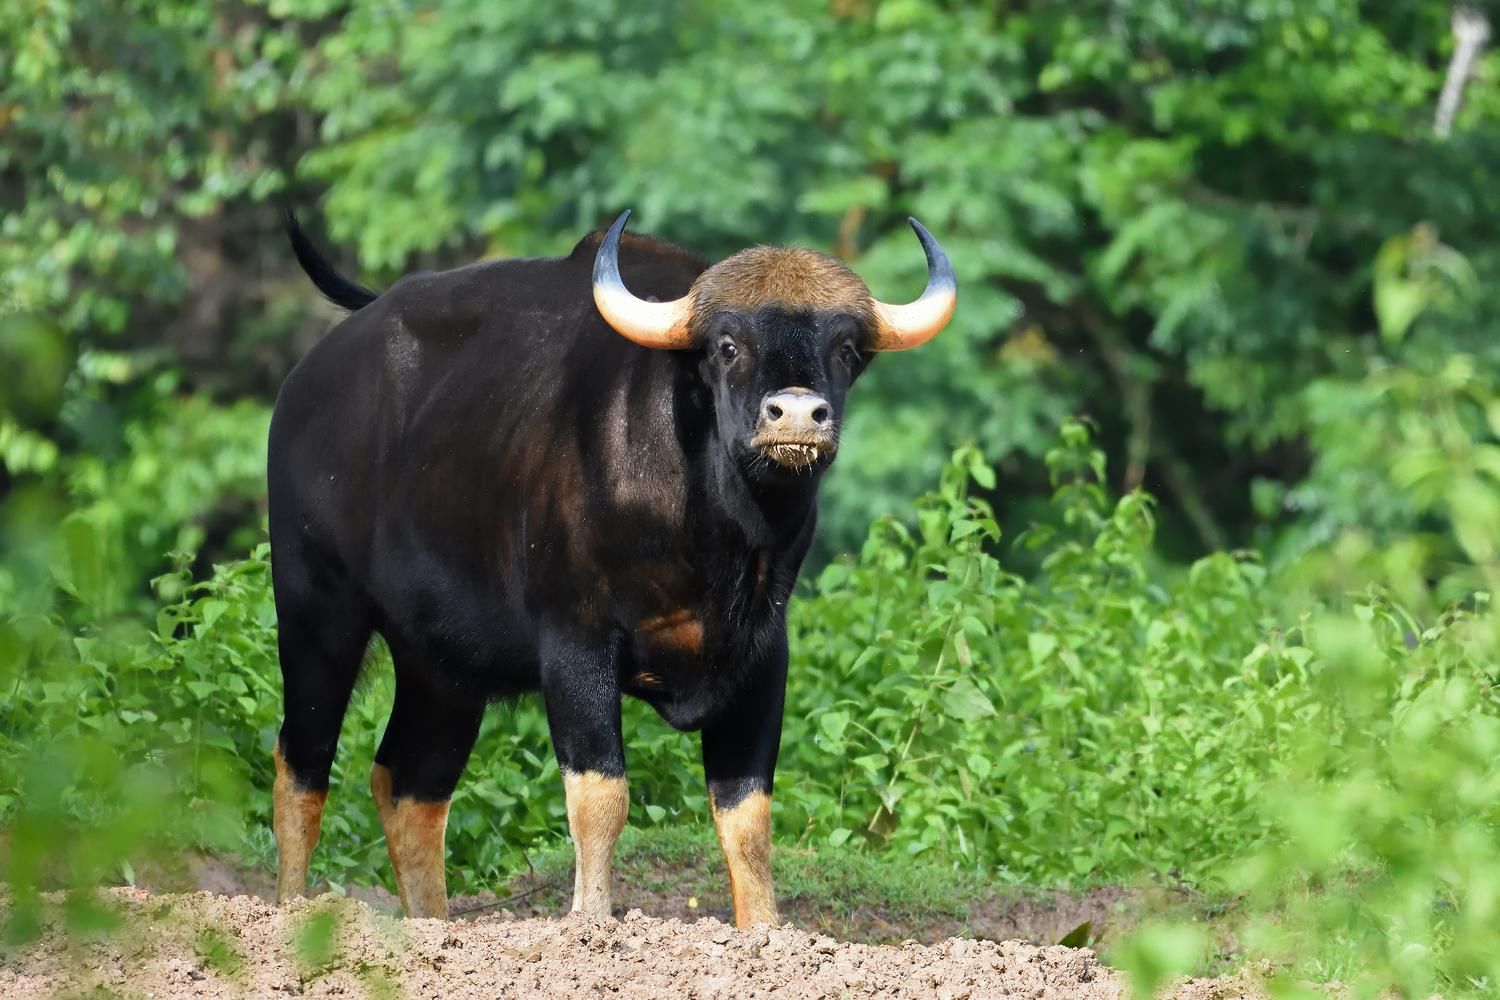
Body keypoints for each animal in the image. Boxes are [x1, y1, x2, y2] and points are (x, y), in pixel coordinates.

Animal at [270, 209, 954, 923]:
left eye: (845, 349)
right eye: (727, 345)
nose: (796, 414)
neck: (712, 538)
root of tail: (310, 380)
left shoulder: (763, 653)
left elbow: (748, 814)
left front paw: (764, 929)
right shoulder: (576, 644)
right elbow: (601, 797)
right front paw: (591, 919)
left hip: (444, 665)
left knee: (411, 784)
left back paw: (430, 922)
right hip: (316, 607)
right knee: (303, 763)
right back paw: (289, 906)